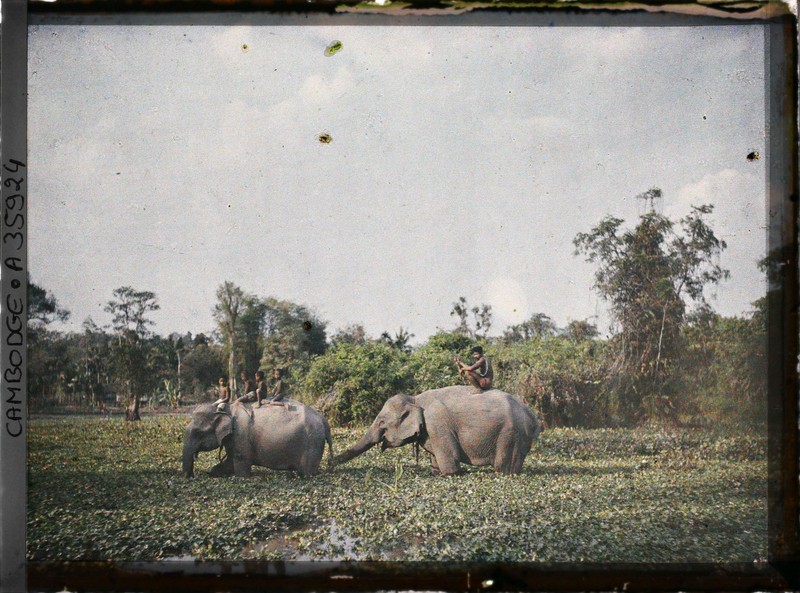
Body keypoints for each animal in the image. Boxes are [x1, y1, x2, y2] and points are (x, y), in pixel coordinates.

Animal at [181, 398, 332, 476]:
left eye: (198, 433)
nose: (190, 477)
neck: (227, 408)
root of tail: (323, 419)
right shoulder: (232, 439)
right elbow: (229, 460)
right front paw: (213, 472)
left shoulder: (241, 436)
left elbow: (241, 462)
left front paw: (242, 478)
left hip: (312, 442)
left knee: (307, 471)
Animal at [332, 384, 544, 476]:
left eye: (382, 422)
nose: (328, 463)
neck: (414, 398)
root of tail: (532, 414)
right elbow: (435, 456)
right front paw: (435, 472)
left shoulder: (437, 424)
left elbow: (449, 457)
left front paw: (450, 474)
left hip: (512, 434)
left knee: (504, 466)